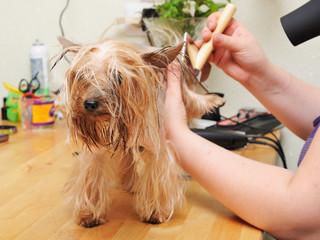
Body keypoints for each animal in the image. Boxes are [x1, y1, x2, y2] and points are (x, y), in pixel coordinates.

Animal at [54, 36, 225, 228]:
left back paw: (213, 100)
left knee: (192, 97)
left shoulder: (157, 144)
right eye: (82, 76)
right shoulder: (97, 149)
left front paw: (155, 211)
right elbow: (93, 174)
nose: (89, 104)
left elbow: (155, 173)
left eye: (117, 77)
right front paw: (89, 213)